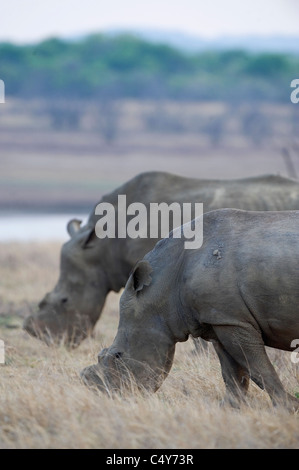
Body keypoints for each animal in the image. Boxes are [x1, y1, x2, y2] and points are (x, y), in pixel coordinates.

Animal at [81, 209, 299, 412]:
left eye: (118, 355)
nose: (113, 398)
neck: (164, 288)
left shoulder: (233, 319)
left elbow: (257, 367)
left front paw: (287, 407)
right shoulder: (220, 319)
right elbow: (233, 372)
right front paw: (228, 409)